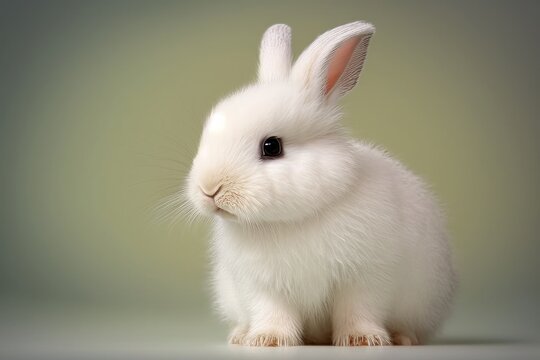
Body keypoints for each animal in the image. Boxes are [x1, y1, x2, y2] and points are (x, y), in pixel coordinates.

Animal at [185, 20, 456, 346]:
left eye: (271, 147)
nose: (209, 190)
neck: (291, 220)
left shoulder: (365, 276)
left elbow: (358, 309)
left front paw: (362, 340)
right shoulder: (262, 286)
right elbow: (272, 313)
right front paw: (267, 340)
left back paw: (403, 338)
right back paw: (239, 335)